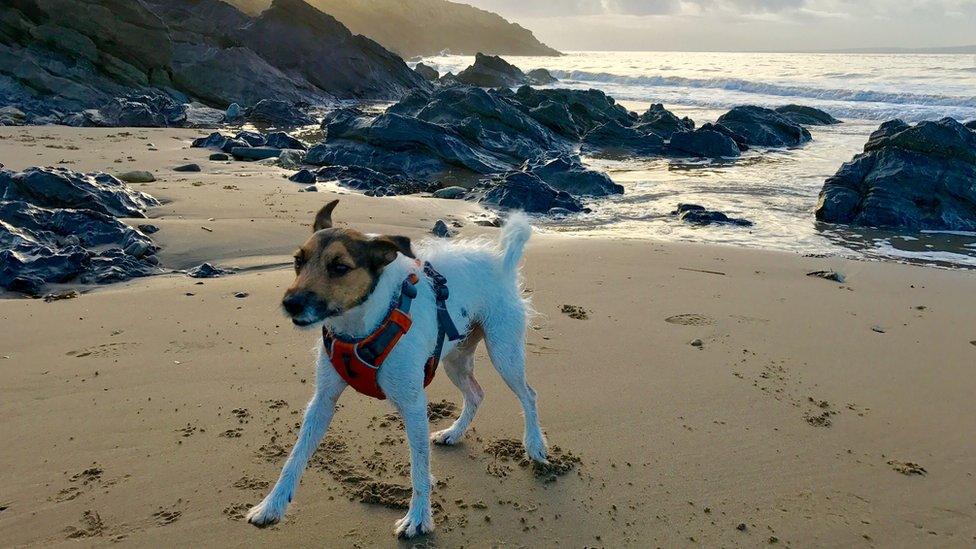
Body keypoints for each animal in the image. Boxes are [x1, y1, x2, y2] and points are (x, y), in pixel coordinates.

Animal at [244, 200, 548, 536]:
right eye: (298, 261)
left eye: (340, 267)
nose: (291, 303)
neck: (361, 326)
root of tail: (502, 264)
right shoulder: (322, 401)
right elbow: (296, 455)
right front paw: (272, 504)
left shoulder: (413, 404)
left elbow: (419, 466)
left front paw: (418, 518)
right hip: (455, 358)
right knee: (476, 394)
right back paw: (454, 433)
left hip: (504, 352)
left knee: (529, 394)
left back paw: (534, 445)